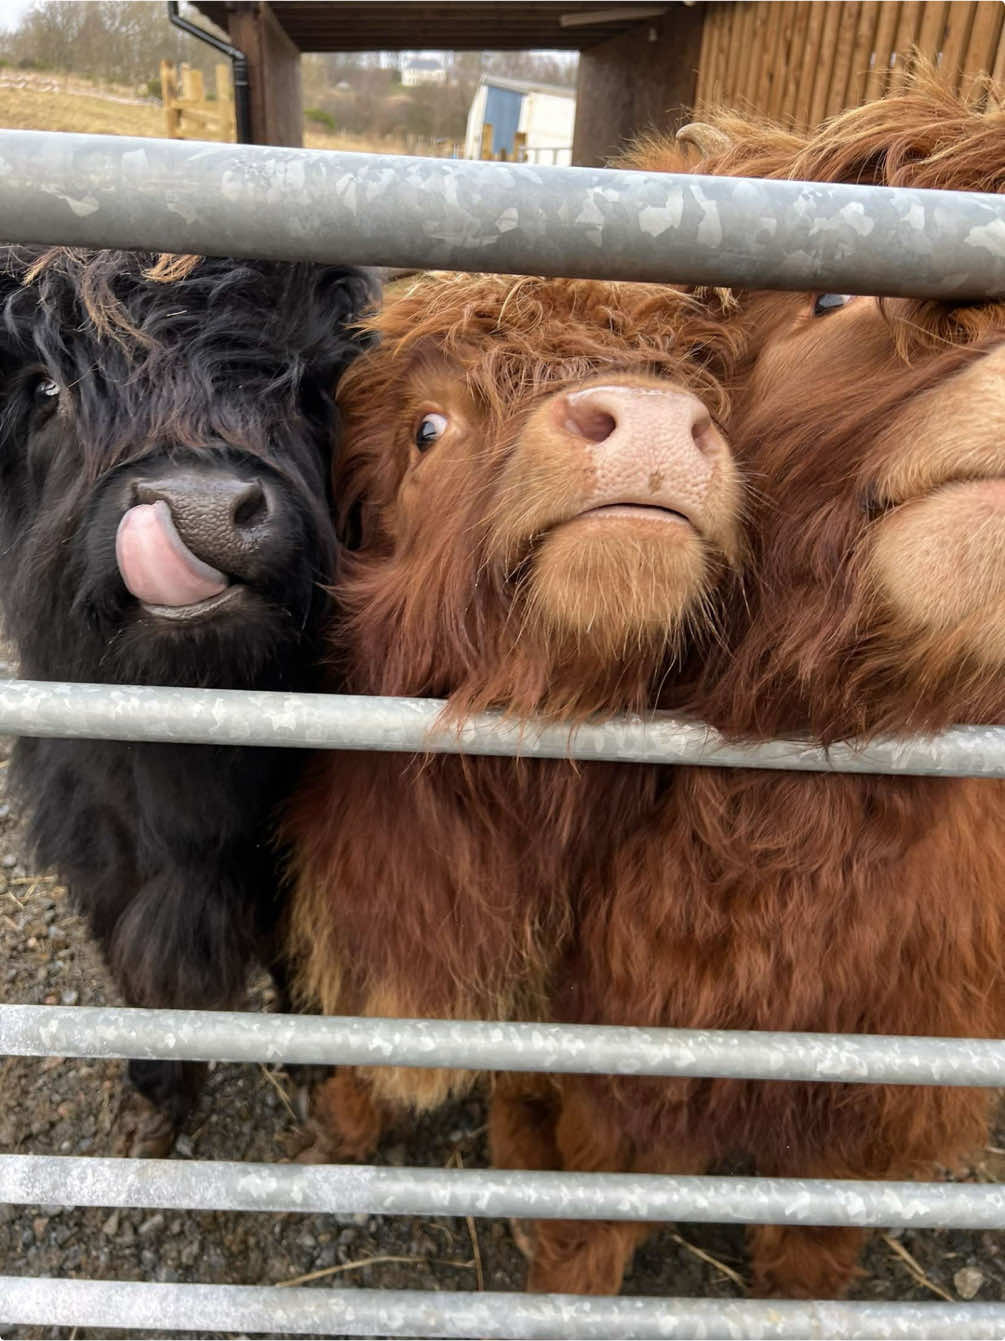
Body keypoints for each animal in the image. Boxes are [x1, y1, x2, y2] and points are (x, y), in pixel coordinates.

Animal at [0, 244, 375, 1153]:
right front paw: (152, 1106)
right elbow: (148, 982)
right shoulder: (106, 861)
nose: (199, 512)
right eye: (47, 388)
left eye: (300, 378)